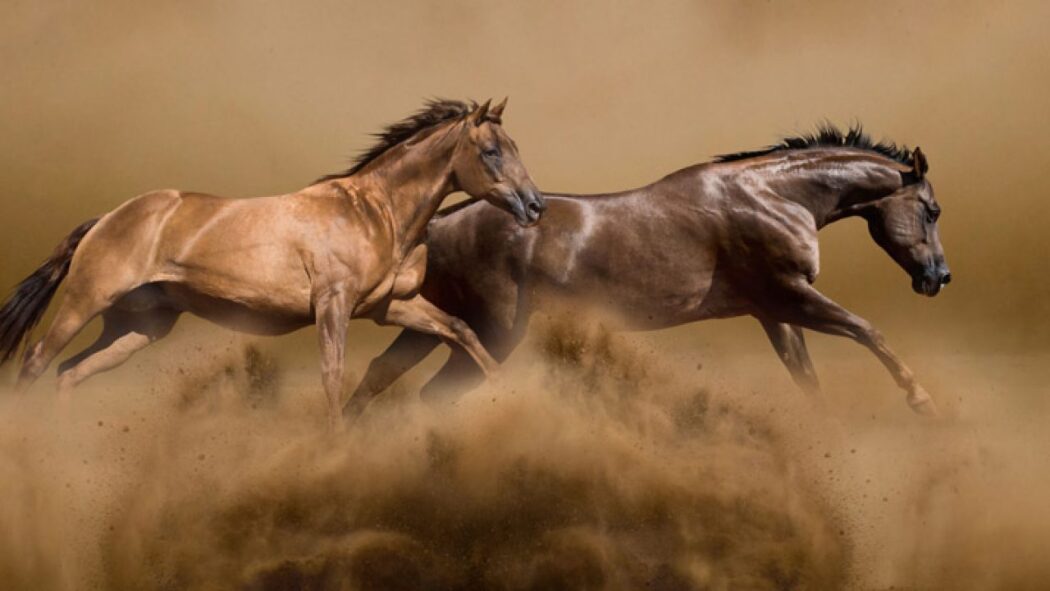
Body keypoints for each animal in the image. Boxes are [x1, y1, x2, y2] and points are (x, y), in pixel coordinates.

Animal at [0, 98, 546, 428]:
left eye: (515, 147)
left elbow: (461, 330)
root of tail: (106, 219)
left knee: (69, 371)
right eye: (491, 152)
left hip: (138, 326)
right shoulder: (333, 304)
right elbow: (332, 372)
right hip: (86, 299)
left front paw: (506, 396)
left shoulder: (391, 306)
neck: (375, 211)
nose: (535, 205)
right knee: (36, 361)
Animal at [345, 124, 950, 418]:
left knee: (377, 374)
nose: (938, 278)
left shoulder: (773, 311)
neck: (774, 196)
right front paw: (921, 399)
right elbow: (867, 330)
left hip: (438, 326)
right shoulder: (789, 296)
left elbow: (807, 378)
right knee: (431, 394)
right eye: (932, 209)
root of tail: (439, 223)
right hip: (493, 332)